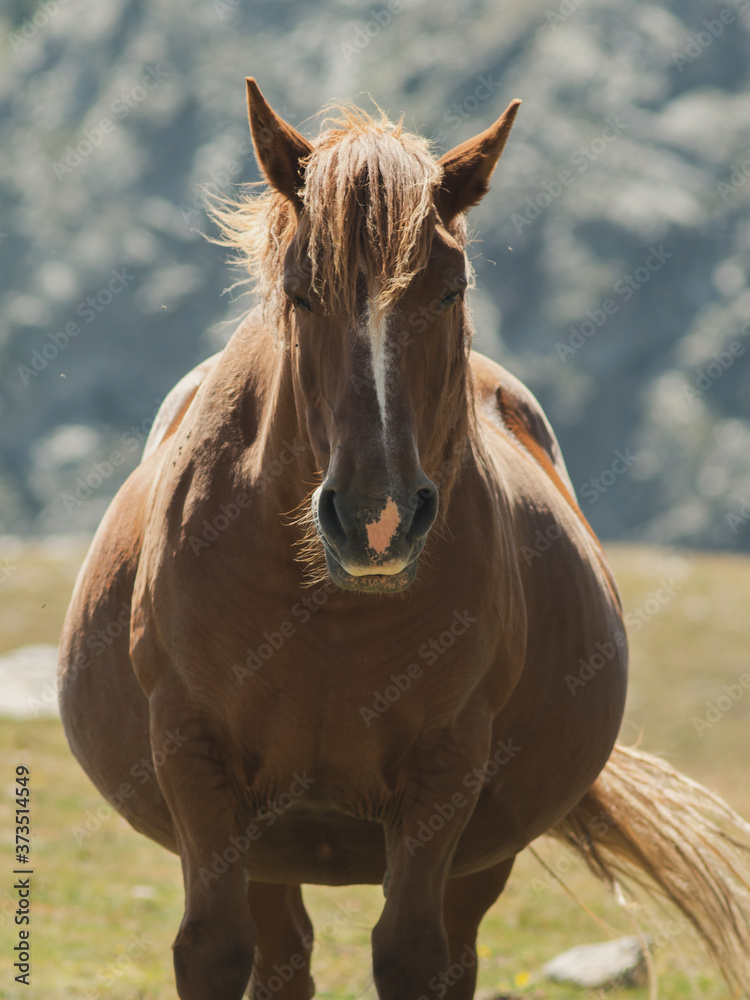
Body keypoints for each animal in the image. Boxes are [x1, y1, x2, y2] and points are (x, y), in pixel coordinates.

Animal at [58, 78, 750, 1000]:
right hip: (267, 850)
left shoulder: (445, 774)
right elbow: (212, 949)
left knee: (448, 950)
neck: (327, 623)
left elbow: (411, 953)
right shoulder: (194, 762)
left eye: (450, 291)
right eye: (300, 291)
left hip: (477, 856)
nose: (375, 519)